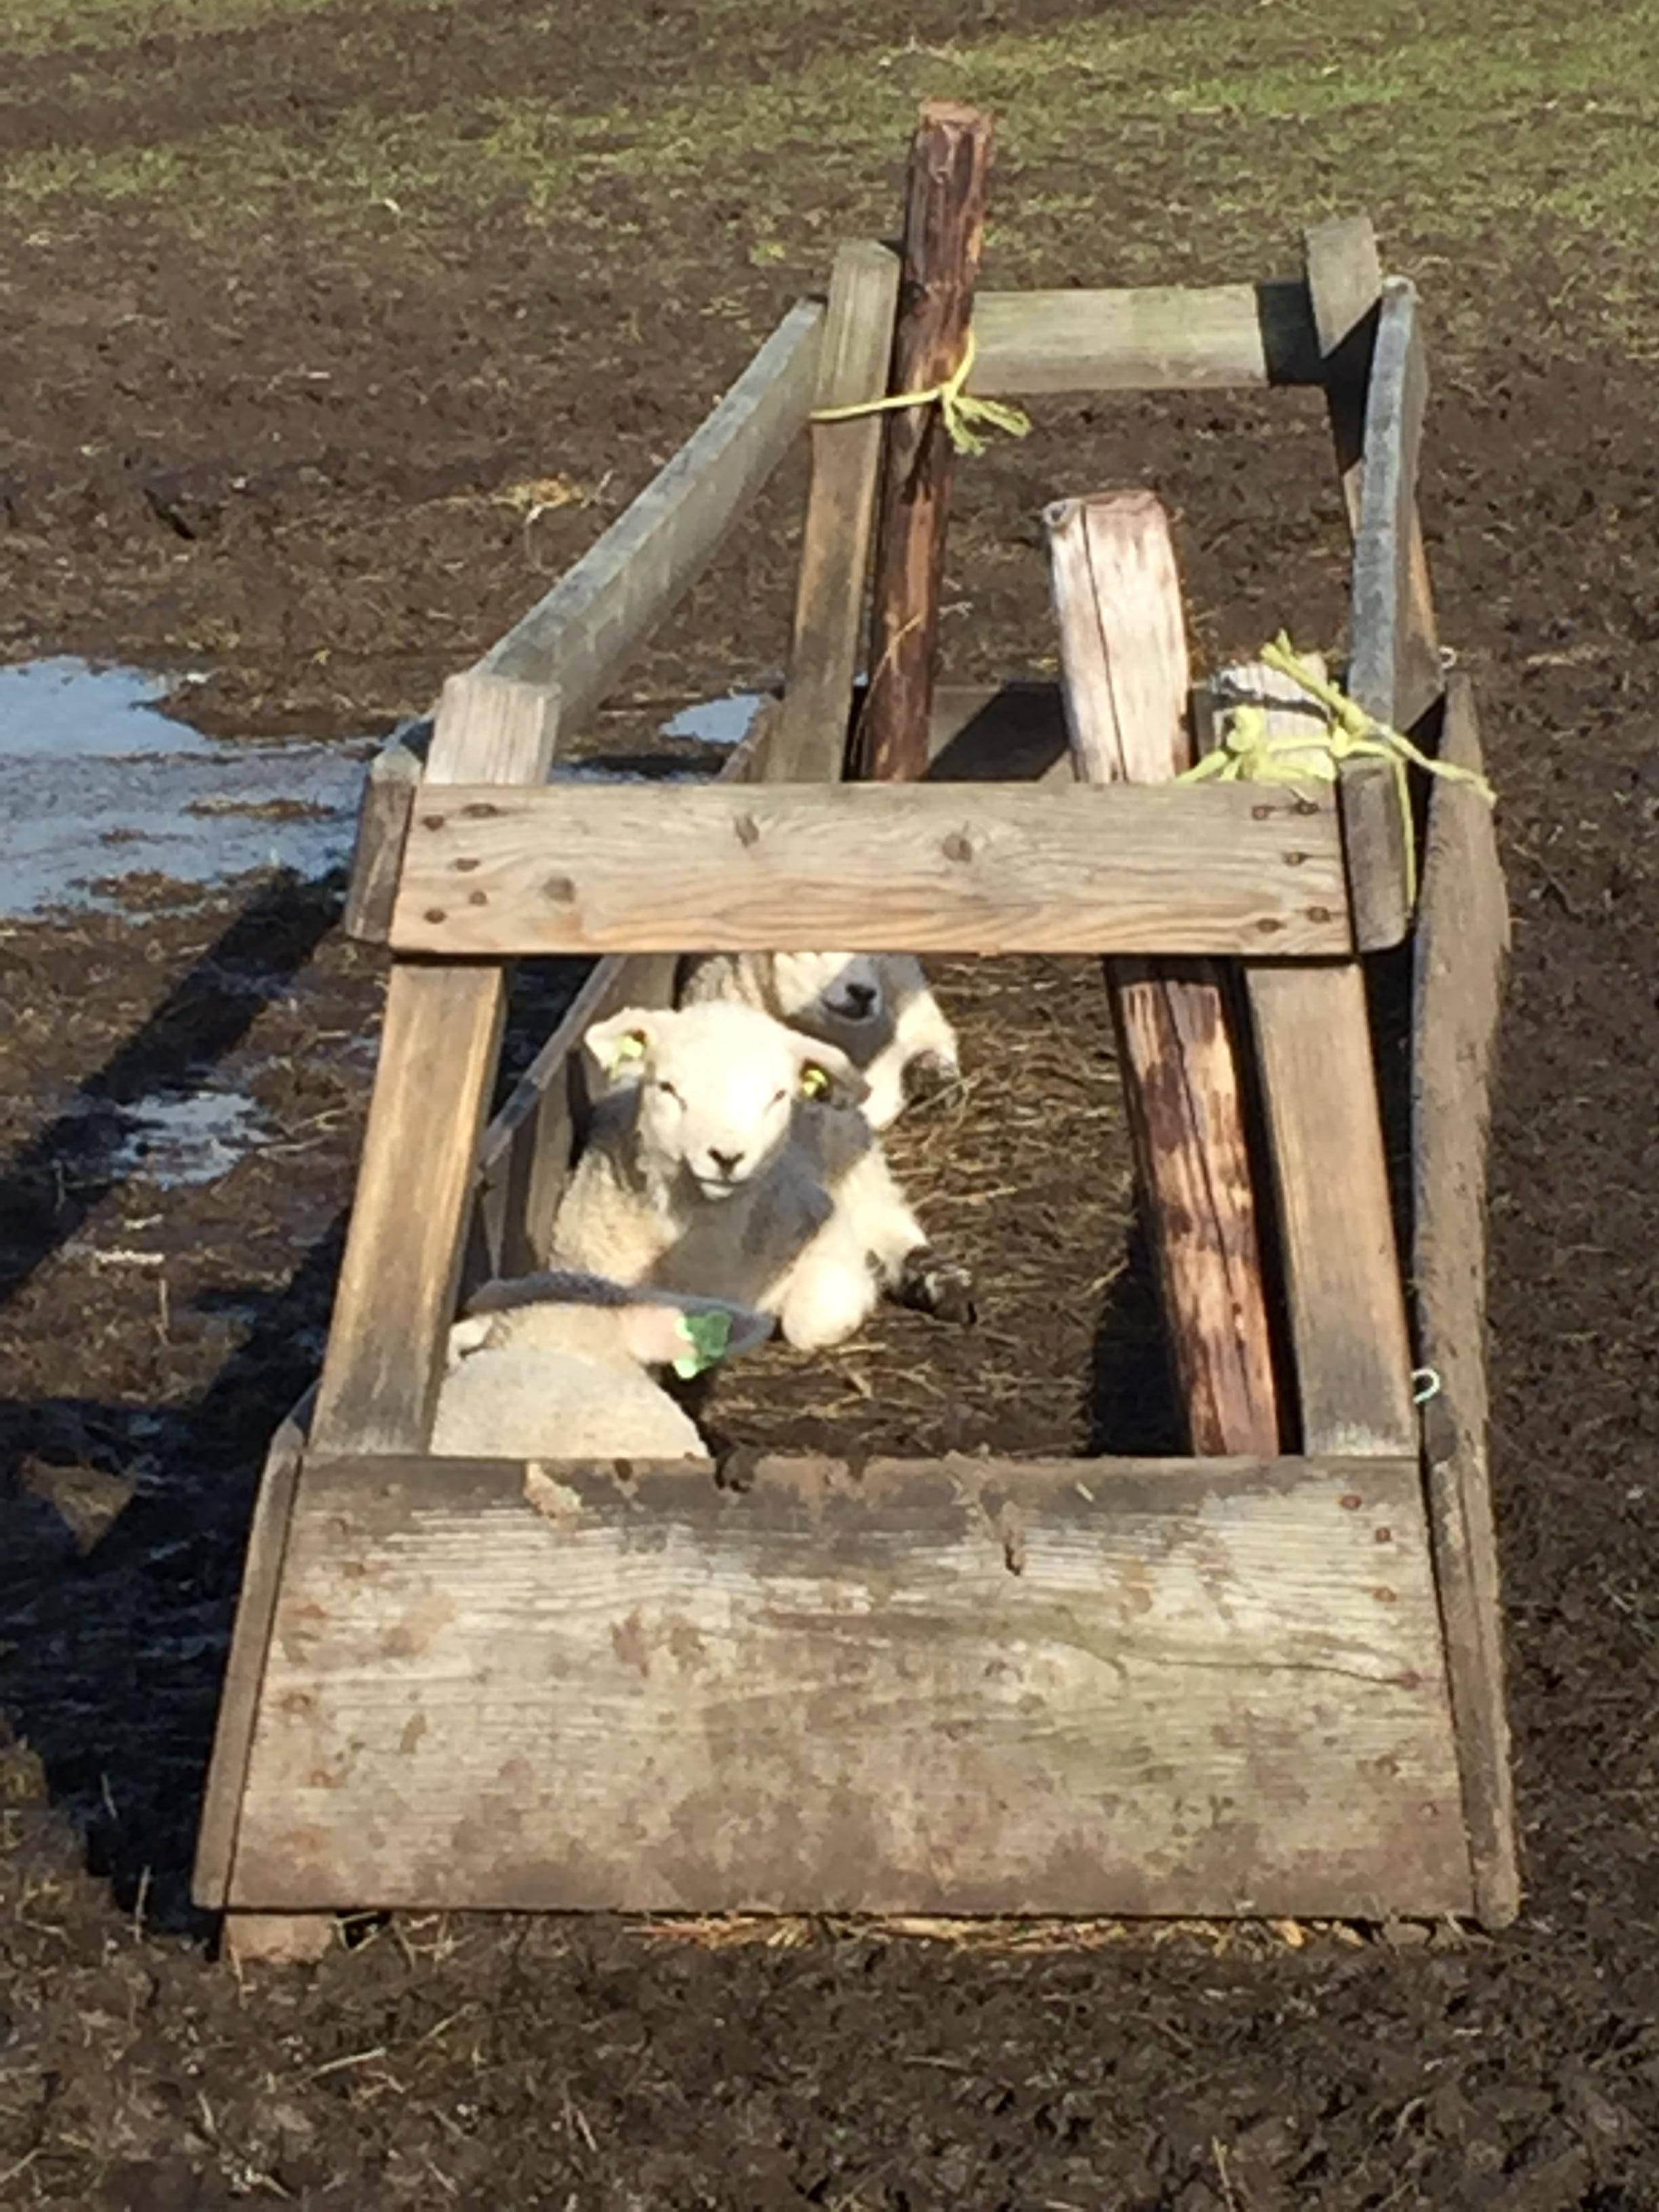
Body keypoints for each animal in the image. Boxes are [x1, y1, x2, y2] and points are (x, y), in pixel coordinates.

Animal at [553, 1000, 982, 1345]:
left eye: (777, 1096)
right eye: (668, 1088)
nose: (727, 1157)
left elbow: (812, 1318)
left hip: (854, 1162)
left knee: (889, 1221)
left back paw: (940, 1283)